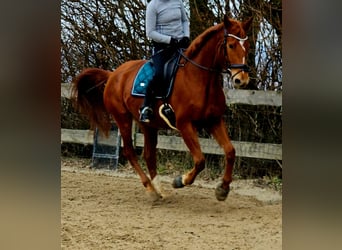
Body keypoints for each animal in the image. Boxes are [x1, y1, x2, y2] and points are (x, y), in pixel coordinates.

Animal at [72, 14, 252, 200]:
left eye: (247, 46)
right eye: (231, 45)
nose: (242, 79)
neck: (199, 79)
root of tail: (113, 74)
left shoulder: (214, 121)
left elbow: (230, 151)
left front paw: (222, 189)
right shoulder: (184, 125)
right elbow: (200, 160)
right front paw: (180, 180)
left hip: (148, 124)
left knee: (149, 154)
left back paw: (158, 188)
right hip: (122, 119)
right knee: (130, 152)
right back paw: (150, 188)